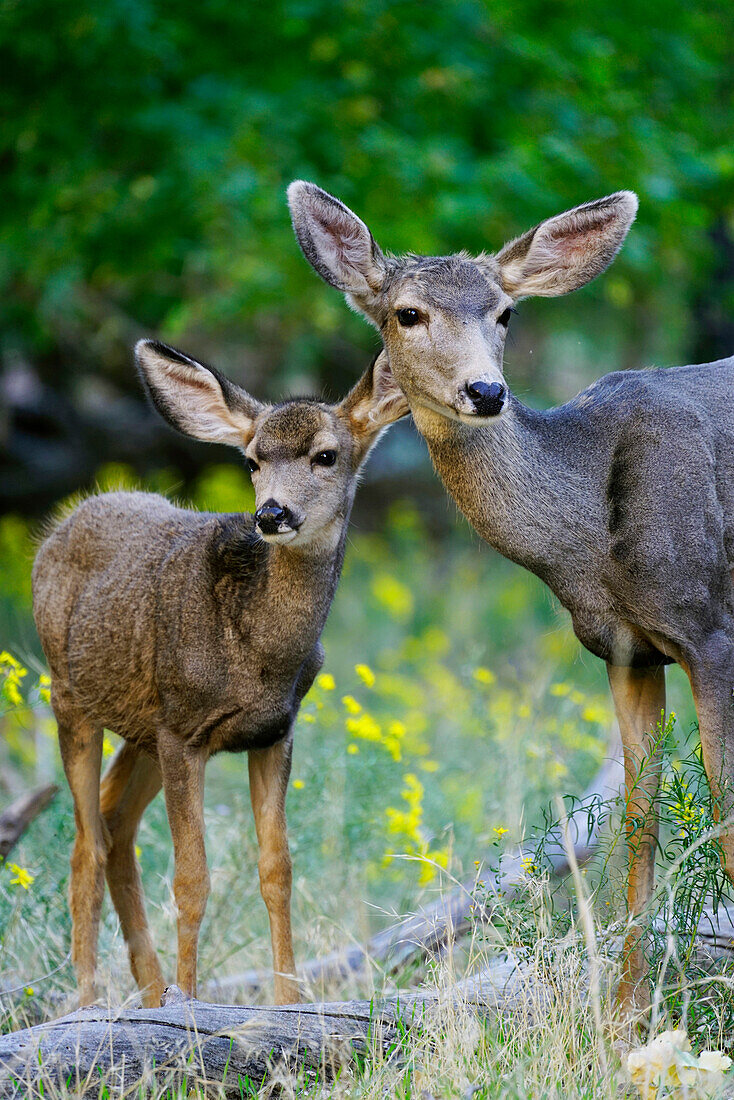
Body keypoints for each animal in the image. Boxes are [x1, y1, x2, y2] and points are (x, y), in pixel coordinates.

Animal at [33, 341, 407, 1007]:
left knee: (114, 825)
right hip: (71, 696)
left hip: (142, 728)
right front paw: (190, 1002)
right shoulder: (183, 734)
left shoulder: (272, 732)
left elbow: (277, 868)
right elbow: (192, 877)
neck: (258, 653)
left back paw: (149, 989)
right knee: (86, 842)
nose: (272, 513)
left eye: (326, 455)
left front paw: (287, 1000)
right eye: (253, 460)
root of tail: (61, 527)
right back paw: (92, 998)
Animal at [288, 178, 734, 1012]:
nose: (486, 390)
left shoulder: (711, 625)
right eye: (407, 313)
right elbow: (636, 822)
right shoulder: (627, 651)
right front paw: (626, 1017)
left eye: (505, 314)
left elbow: (722, 812)